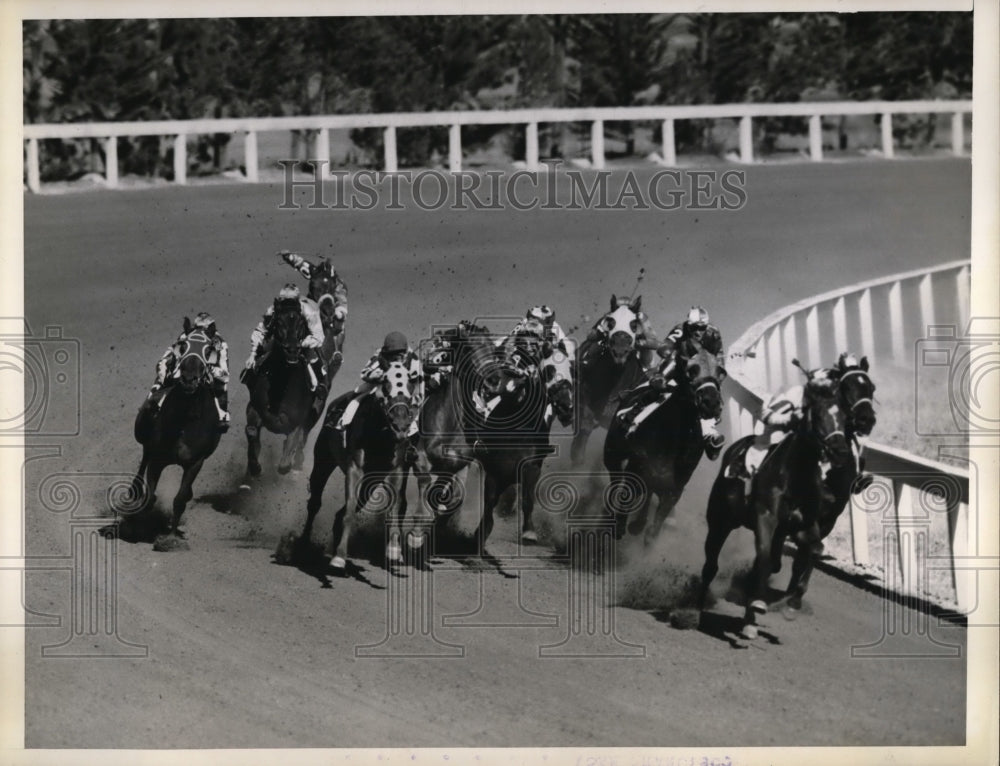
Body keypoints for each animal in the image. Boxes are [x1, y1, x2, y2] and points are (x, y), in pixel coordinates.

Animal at [129, 328, 223, 548]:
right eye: (183, 346)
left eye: (208, 350)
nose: (189, 379)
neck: (184, 422)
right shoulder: (158, 459)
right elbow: (149, 496)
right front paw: (139, 527)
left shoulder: (195, 462)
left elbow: (179, 499)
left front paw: (170, 539)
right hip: (143, 433)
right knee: (144, 458)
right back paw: (134, 490)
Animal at [242, 296, 320, 476]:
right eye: (278, 322)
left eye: (301, 323)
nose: (292, 349)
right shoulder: (254, 407)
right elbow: (251, 430)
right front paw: (254, 465)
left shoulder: (297, 421)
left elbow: (286, 458)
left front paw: (288, 462)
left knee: (303, 438)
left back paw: (298, 461)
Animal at [294, 360, 424, 568]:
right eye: (385, 387)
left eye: (411, 388)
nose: (401, 424)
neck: (381, 435)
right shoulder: (355, 468)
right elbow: (349, 511)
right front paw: (339, 557)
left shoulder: (396, 469)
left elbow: (395, 508)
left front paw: (394, 551)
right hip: (323, 460)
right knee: (315, 502)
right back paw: (304, 543)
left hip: (370, 483)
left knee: (341, 511)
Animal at [600, 340, 728, 544]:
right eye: (691, 369)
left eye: (721, 372)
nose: (712, 403)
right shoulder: (637, 468)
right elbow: (629, 494)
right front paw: (620, 524)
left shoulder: (674, 488)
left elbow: (656, 523)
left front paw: (644, 529)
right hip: (612, 454)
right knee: (616, 481)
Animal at [700, 362, 872, 640]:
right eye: (848, 388)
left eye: (870, 387)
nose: (867, 419)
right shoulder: (766, 518)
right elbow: (767, 557)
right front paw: (760, 603)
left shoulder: (817, 522)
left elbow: (809, 553)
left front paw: (790, 603)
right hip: (720, 520)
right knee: (712, 561)